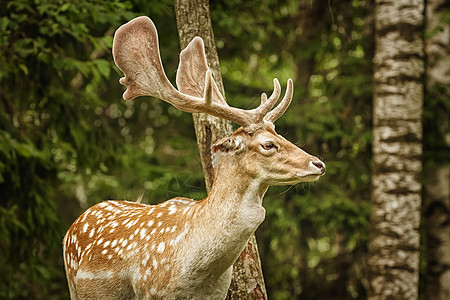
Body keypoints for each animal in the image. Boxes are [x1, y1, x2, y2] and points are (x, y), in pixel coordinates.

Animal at [62, 17, 324, 300]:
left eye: (280, 134)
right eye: (268, 144)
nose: (318, 163)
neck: (199, 273)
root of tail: (72, 225)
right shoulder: (152, 291)